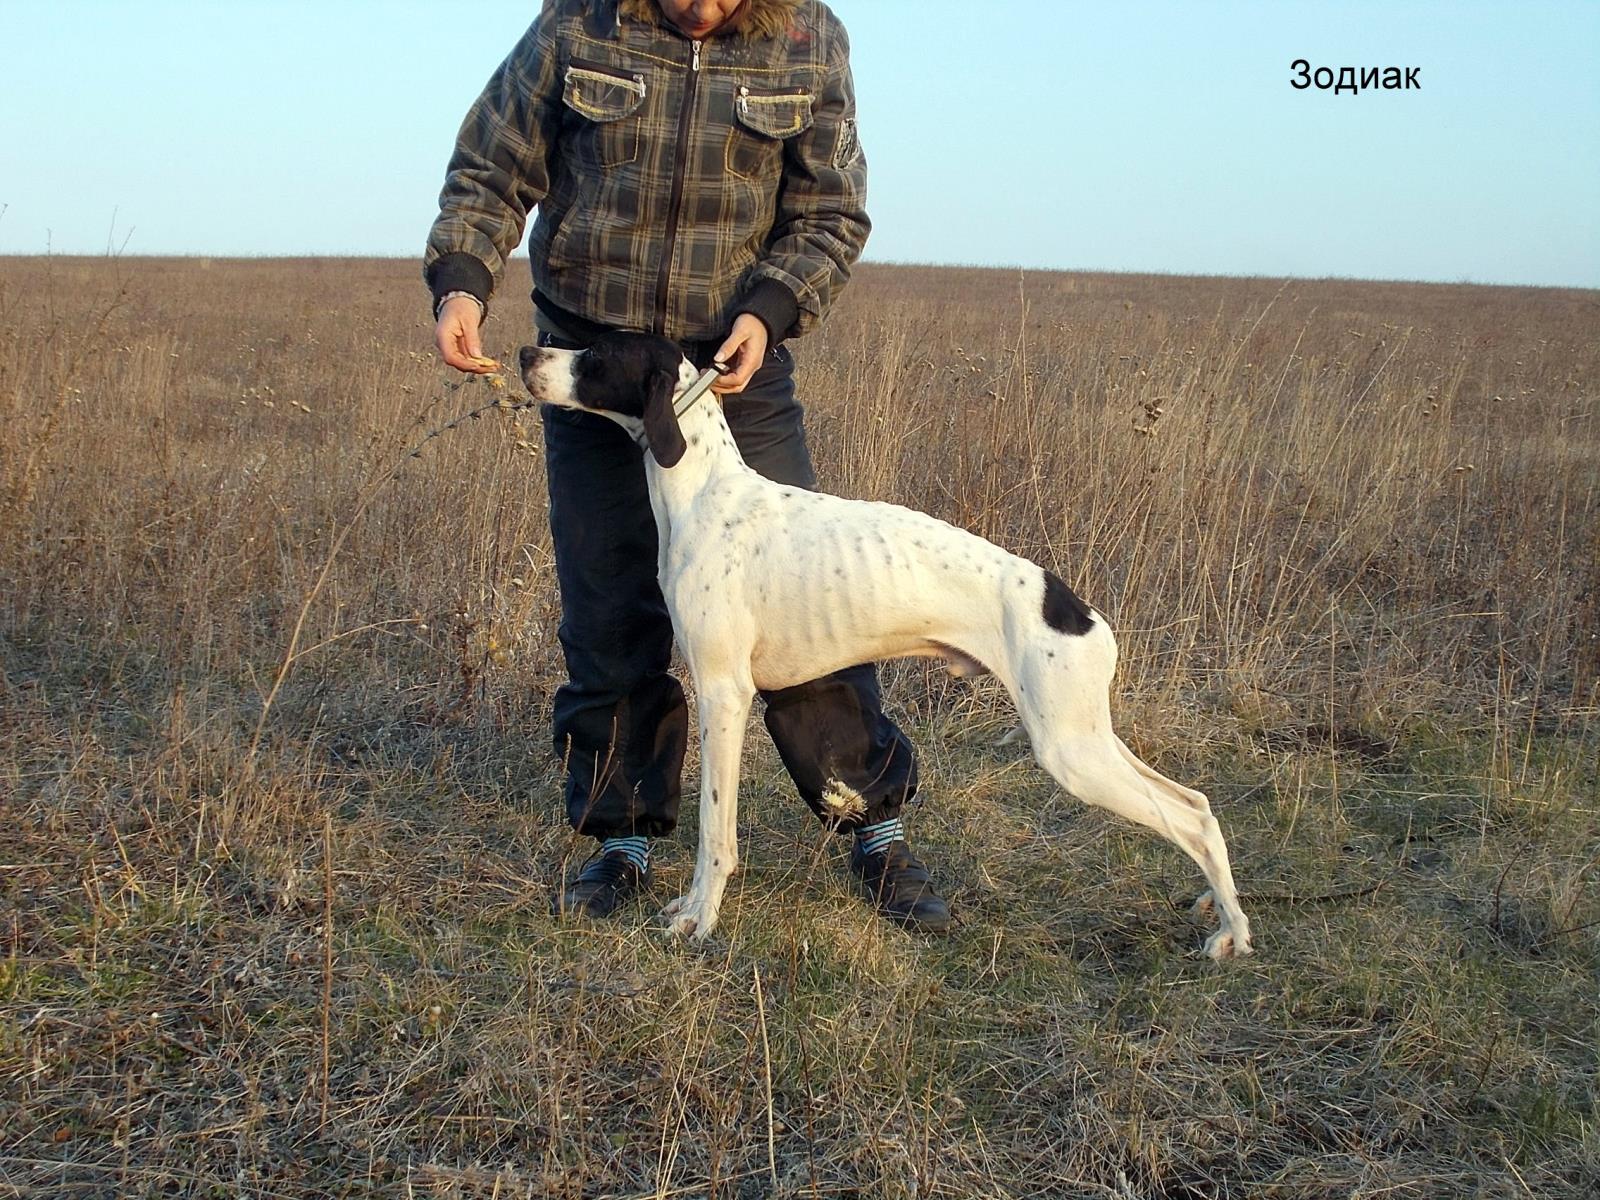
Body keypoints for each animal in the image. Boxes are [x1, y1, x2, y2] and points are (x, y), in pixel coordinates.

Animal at [519, 333, 1253, 959]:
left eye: (597, 354)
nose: (528, 351)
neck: (705, 492)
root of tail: (1075, 608)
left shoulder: (725, 696)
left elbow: (715, 833)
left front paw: (700, 917)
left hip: (1070, 749)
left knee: (1190, 820)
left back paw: (1233, 934)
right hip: (1085, 737)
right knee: (1198, 806)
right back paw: (1217, 914)